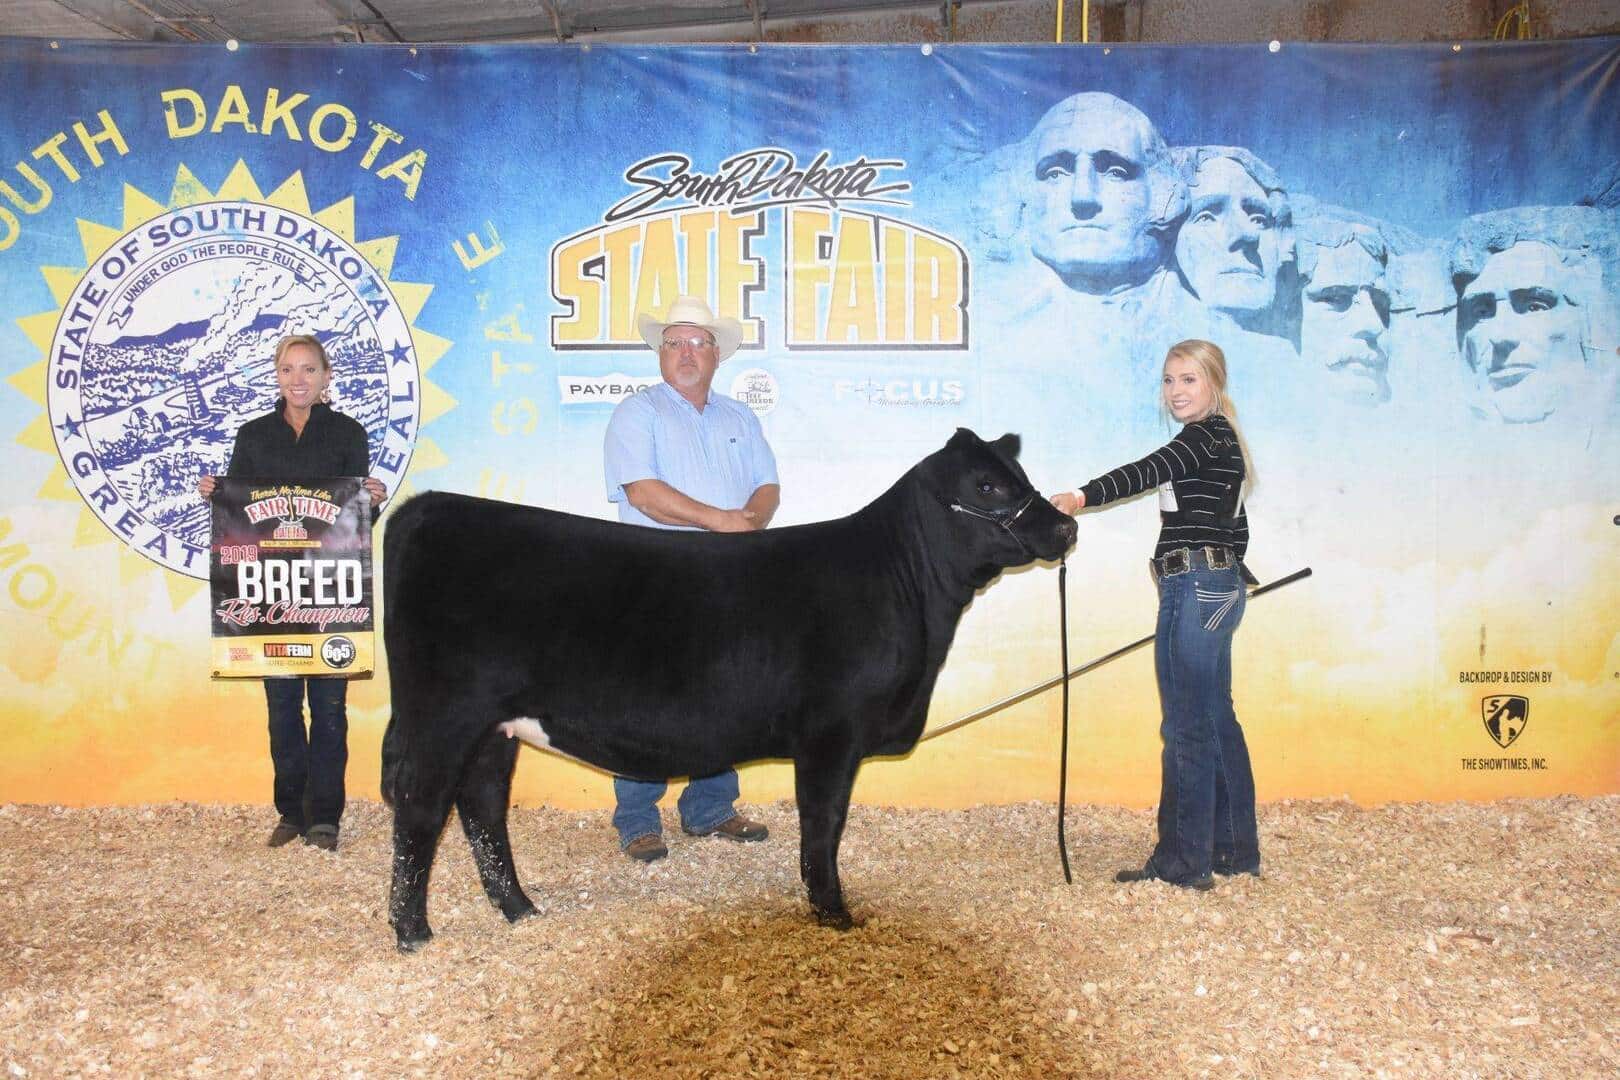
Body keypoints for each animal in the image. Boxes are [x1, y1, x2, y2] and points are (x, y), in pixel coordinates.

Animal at [380, 428, 1076, 951]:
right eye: (986, 486)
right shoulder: (831, 733)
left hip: (495, 726)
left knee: (483, 807)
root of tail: (427, 507)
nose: (1067, 529)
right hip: (444, 714)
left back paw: (520, 909)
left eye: (1018, 474)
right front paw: (832, 912)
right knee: (421, 809)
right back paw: (413, 933)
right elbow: (824, 822)